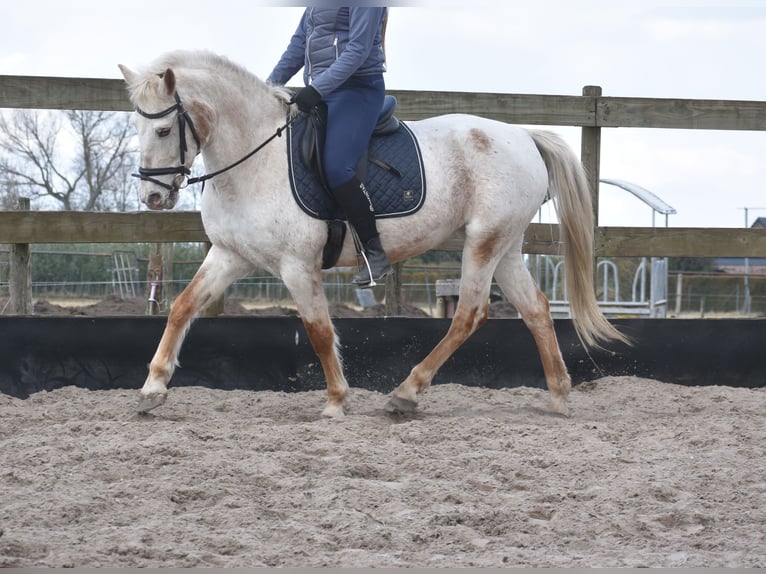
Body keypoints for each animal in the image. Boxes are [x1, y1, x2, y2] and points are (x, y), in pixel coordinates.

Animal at [118, 49, 624, 418]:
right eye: (137, 125)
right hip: (507, 245)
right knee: (535, 308)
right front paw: (152, 388)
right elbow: (182, 307)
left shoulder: (297, 265)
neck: (255, 160)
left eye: (163, 129)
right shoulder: (229, 254)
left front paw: (336, 402)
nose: (153, 197)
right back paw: (558, 396)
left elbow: (319, 331)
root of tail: (524, 136)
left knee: (469, 314)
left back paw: (407, 392)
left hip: (483, 242)